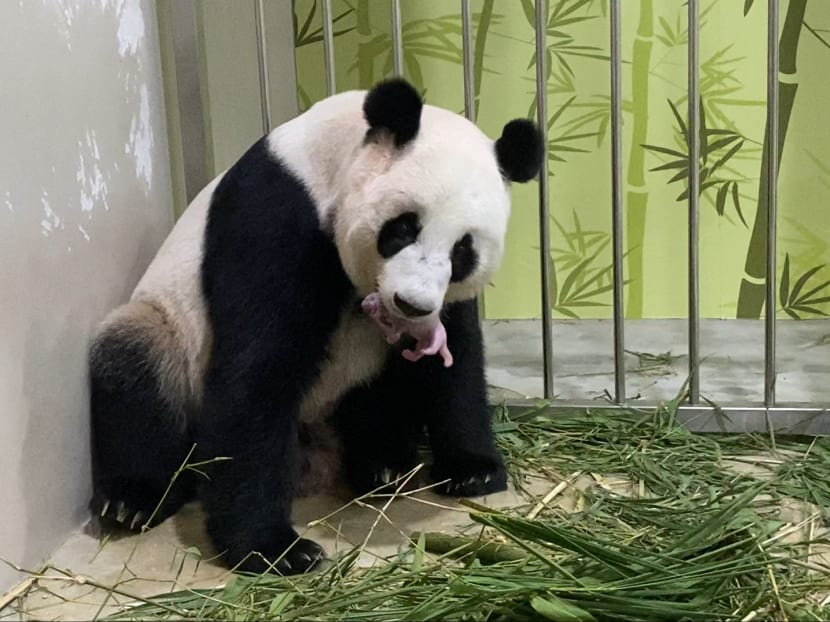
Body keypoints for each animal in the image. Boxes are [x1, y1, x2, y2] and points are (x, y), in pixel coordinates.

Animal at [89, 78, 544, 576]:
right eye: (403, 229)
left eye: (463, 251)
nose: (411, 304)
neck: (329, 160)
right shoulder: (275, 216)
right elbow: (258, 368)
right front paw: (275, 549)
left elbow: (455, 358)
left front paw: (473, 470)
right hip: (169, 333)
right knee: (135, 367)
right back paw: (133, 499)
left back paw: (382, 461)